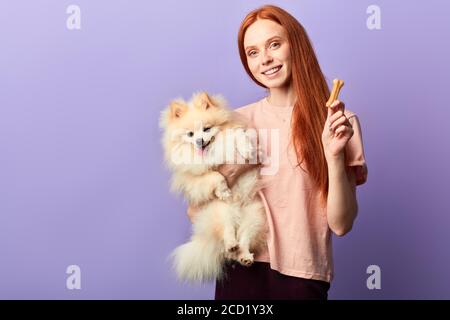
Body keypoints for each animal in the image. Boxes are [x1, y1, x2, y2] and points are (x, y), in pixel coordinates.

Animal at [160, 91, 268, 282]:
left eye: (207, 129)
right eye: (190, 134)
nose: (199, 141)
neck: (212, 152)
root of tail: (237, 215)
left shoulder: (236, 133)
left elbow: (238, 135)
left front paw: (246, 150)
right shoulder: (192, 178)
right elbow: (215, 175)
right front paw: (224, 191)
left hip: (254, 217)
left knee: (244, 239)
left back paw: (244, 256)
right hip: (220, 212)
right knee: (227, 233)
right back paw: (231, 245)